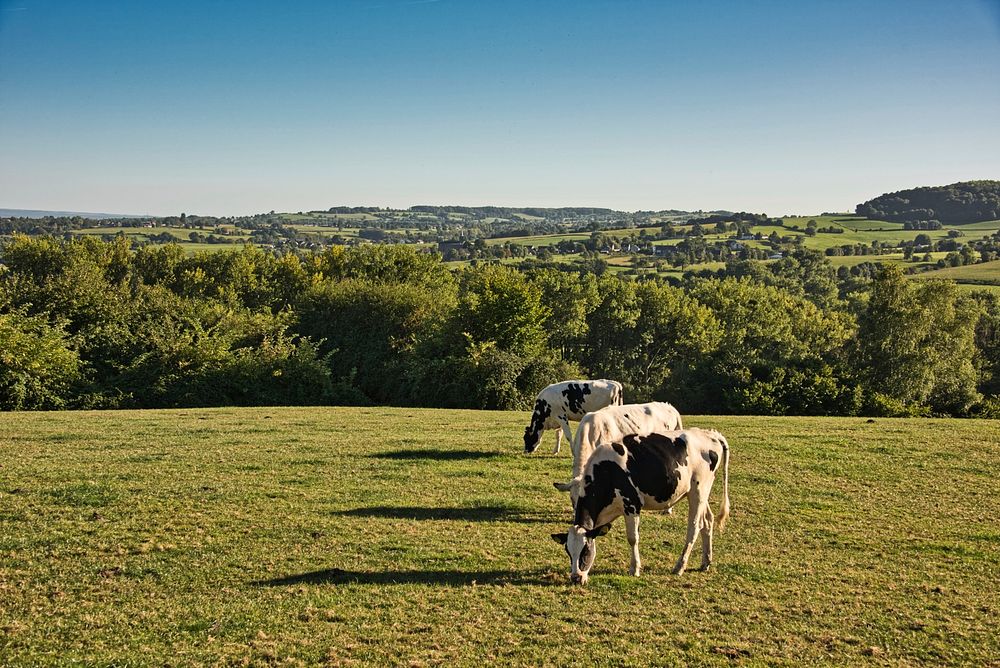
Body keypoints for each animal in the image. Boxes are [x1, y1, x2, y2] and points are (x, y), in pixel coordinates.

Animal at [552, 430, 732, 580]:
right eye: (569, 552)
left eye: (586, 550)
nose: (575, 578)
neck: (607, 471)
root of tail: (711, 434)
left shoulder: (632, 506)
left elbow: (633, 538)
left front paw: (635, 569)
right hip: (699, 493)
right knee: (708, 521)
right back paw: (705, 562)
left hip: (698, 491)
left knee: (694, 527)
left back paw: (680, 566)